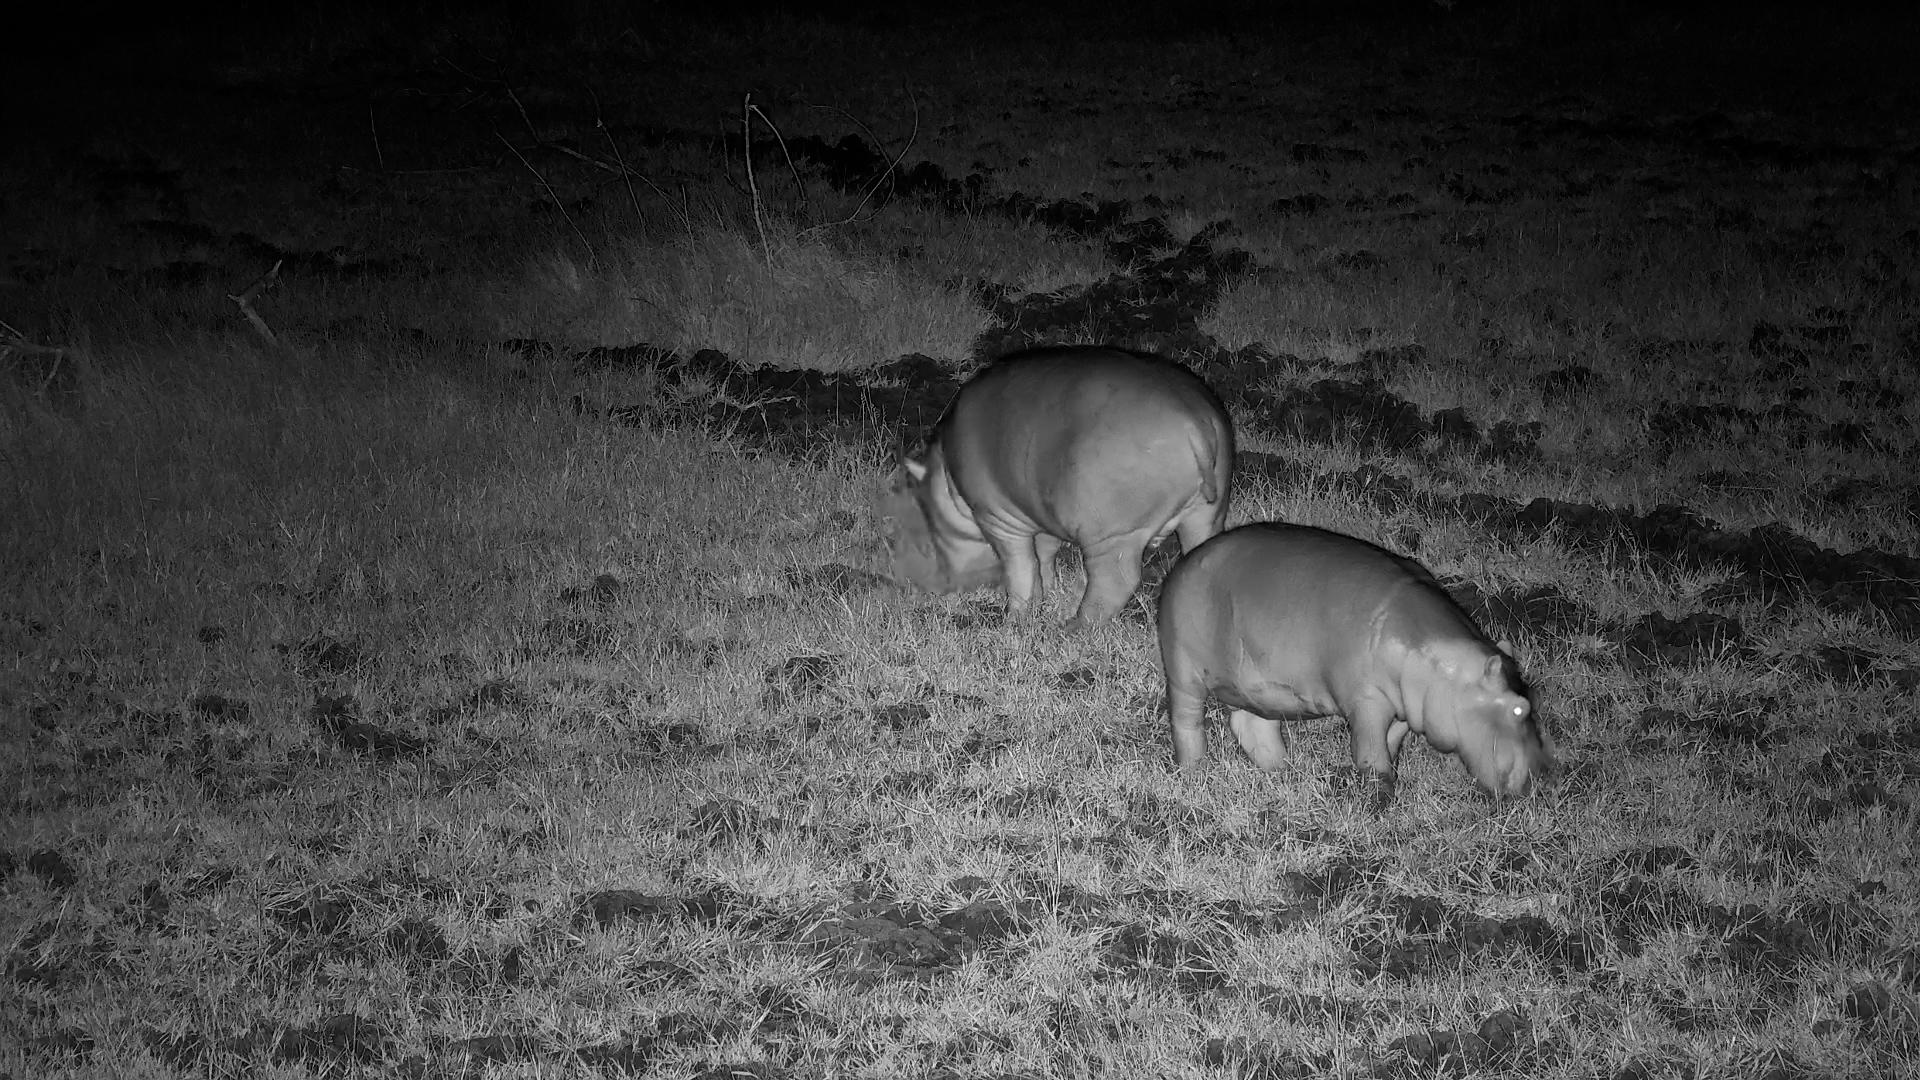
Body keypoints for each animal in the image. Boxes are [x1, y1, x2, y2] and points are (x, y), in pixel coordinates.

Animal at [880, 346, 1234, 630]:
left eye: (929, 532)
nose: (930, 588)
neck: (946, 483)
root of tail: (1193, 421)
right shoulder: (1040, 515)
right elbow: (1044, 554)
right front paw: (1048, 593)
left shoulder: (997, 521)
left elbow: (1021, 567)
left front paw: (1014, 619)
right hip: (1206, 516)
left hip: (1113, 535)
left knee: (1115, 580)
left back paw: (1072, 627)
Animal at [1157, 522, 1556, 805]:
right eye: (1519, 709)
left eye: (1533, 697)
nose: (1543, 776)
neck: (1446, 669)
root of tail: (1184, 562)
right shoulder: (1367, 699)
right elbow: (1370, 751)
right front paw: (1375, 801)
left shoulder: (1406, 708)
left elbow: (1390, 745)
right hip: (1183, 672)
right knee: (1187, 722)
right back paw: (1194, 772)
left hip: (1257, 688)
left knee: (1252, 726)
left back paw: (1286, 773)